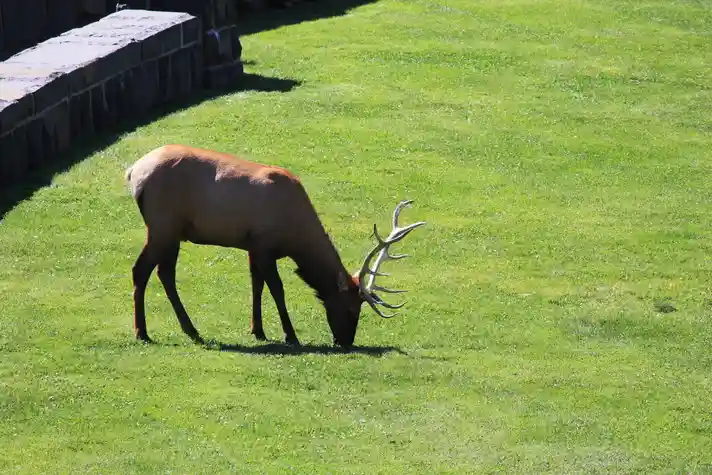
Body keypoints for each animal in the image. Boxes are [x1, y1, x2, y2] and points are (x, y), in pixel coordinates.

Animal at [124, 143, 426, 348]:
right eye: (352, 308)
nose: (345, 341)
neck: (294, 235)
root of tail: (133, 172)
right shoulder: (265, 245)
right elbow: (277, 289)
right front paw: (290, 335)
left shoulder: (253, 247)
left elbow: (256, 285)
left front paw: (257, 330)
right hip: (162, 226)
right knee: (142, 270)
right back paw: (144, 332)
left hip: (172, 233)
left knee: (164, 273)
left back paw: (189, 330)